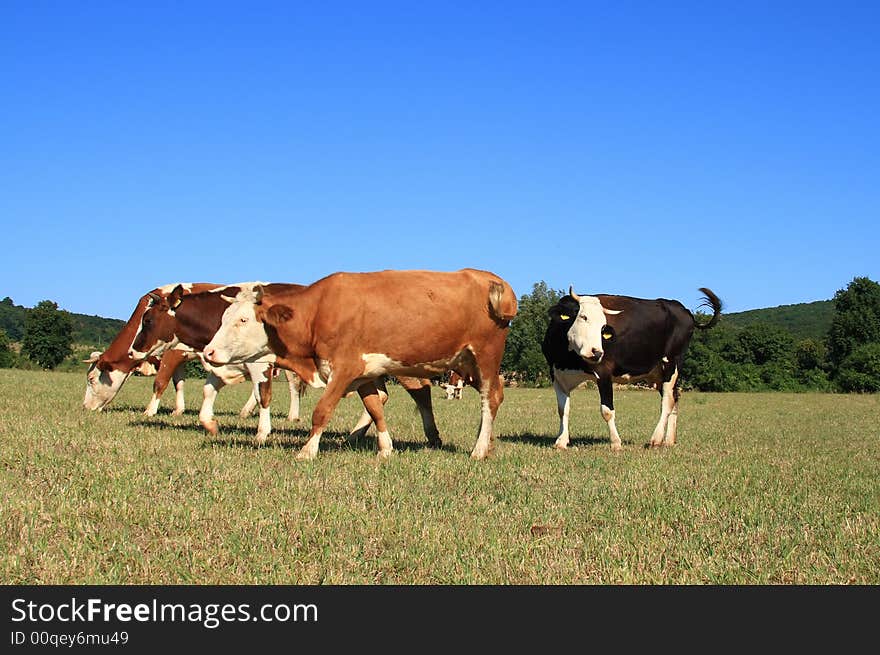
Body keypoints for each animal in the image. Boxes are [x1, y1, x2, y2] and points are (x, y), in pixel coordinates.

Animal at [127, 284, 444, 448]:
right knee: (380, 397)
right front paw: (211, 425)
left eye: (148, 320)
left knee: (421, 392)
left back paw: (432, 436)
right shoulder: (221, 361)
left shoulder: (260, 363)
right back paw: (354, 435)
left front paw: (261, 432)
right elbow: (208, 390)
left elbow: (263, 396)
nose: (132, 350)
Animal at [203, 270, 520, 458]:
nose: (208, 351)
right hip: (466, 363)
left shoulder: (345, 368)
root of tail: (491, 279)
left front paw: (307, 451)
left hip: (485, 355)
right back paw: (486, 442)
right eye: (224, 317)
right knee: (497, 393)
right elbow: (376, 408)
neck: (318, 311)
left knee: (489, 399)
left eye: (243, 320)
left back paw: (479, 449)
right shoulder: (366, 372)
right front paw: (385, 449)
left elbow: (322, 410)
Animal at [544, 288, 720, 452]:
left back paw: (656, 439)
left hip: (671, 365)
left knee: (668, 401)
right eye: (583, 317)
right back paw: (669, 440)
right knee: (675, 396)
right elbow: (563, 410)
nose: (597, 352)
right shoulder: (557, 376)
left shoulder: (604, 373)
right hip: (658, 373)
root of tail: (683, 309)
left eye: (602, 326)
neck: (569, 358)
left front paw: (616, 443)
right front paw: (561, 441)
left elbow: (607, 411)